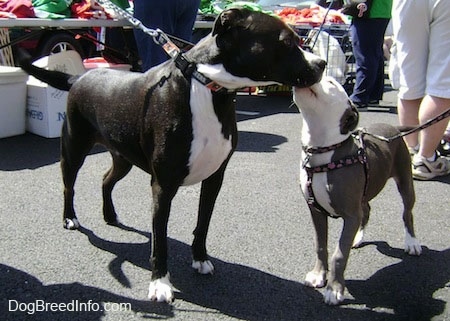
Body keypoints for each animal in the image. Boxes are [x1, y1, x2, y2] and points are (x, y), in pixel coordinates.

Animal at [19, 8, 326, 302]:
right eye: (287, 42)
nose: (322, 64)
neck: (209, 90)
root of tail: (80, 76)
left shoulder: (214, 178)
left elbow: (202, 224)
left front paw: (200, 259)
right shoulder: (163, 186)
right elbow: (161, 241)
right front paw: (159, 284)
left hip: (123, 158)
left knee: (106, 180)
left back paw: (110, 214)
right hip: (74, 149)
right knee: (68, 186)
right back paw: (70, 218)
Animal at [294, 76, 420, 304]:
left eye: (331, 82)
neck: (323, 150)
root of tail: (393, 127)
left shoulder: (350, 215)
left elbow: (339, 254)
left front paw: (334, 289)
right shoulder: (316, 211)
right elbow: (320, 245)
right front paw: (318, 275)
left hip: (405, 180)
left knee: (407, 212)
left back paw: (412, 242)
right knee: (367, 210)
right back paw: (358, 237)